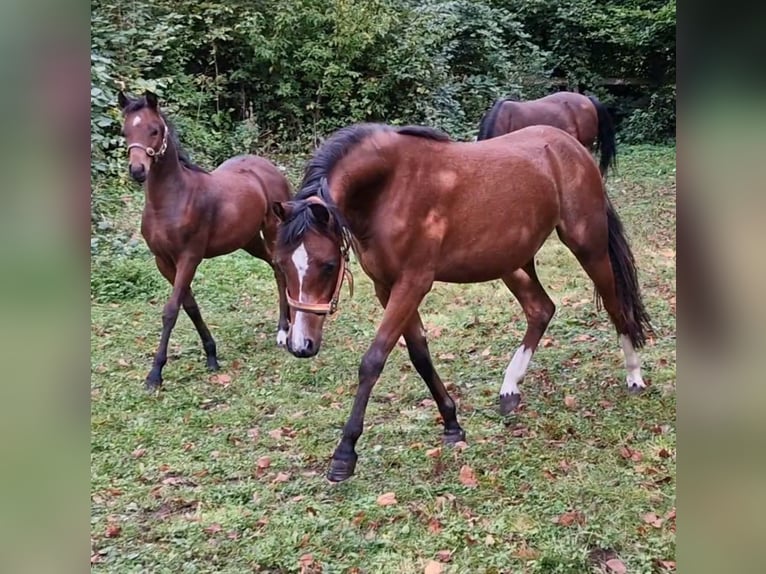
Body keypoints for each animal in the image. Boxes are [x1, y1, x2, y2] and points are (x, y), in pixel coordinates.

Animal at [118, 92, 294, 392]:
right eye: (126, 130)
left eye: (154, 130)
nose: (137, 170)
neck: (171, 201)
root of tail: (270, 167)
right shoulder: (164, 262)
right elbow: (189, 306)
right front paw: (211, 355)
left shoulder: (189, 257)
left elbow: (170, 311)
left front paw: (155, 374)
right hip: (248, 240)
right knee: (274, 266)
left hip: (272, 230)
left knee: (281, 269)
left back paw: (284, 331)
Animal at [272, 122, 652, 486]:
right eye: (281, 263)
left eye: (328, 265)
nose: (302, 345)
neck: (389, 188)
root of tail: (572, 147)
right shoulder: (387, 287)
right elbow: (420, 355)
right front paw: (452, 424)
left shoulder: (412, 283)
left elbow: (373, 360)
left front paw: (344, 454)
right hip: (513, 262)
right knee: (541, 309)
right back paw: (510, 388)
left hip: (588, 245)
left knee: (616, 306)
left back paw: (634, 376)